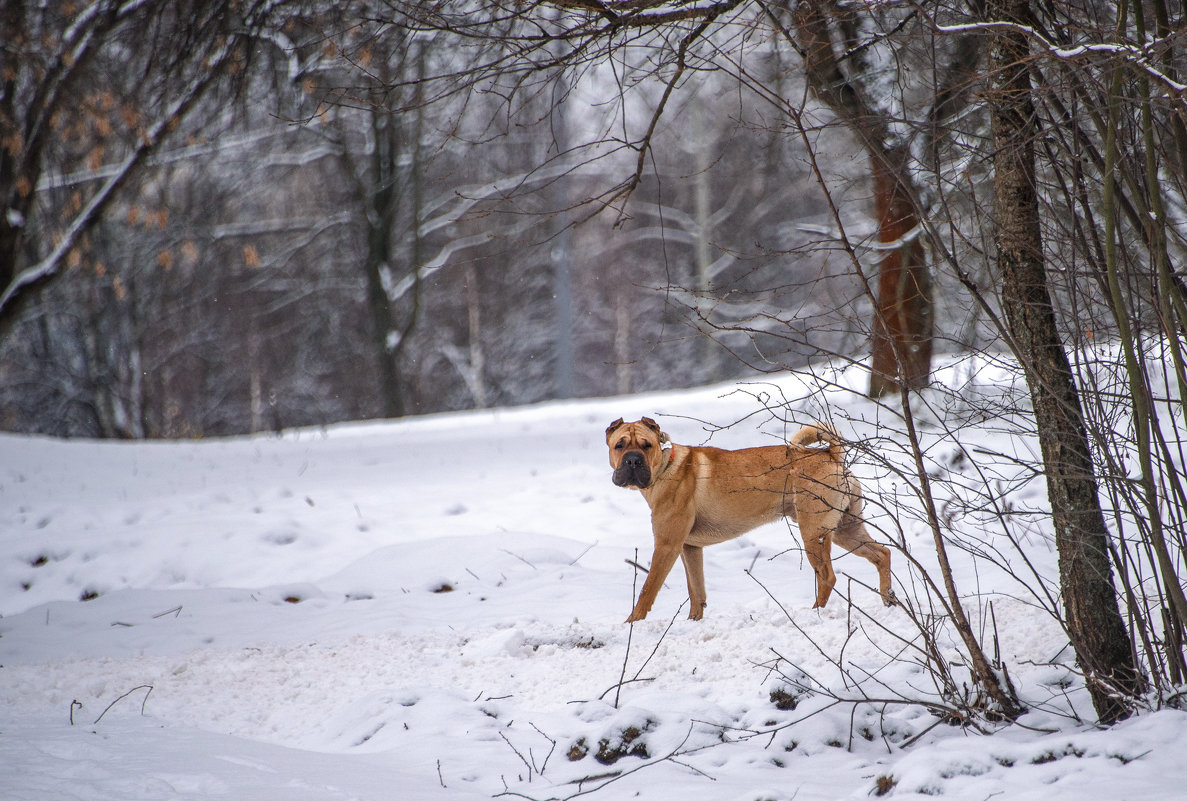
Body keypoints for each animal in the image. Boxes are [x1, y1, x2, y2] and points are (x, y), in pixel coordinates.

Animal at [607, 417, 892, 621]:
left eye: (646, 445)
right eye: (619, 445)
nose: (633, 461)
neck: (665, 466)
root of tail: (830, 454)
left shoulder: (667, 545)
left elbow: (647, 590)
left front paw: (632, 623)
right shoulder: (690, 547)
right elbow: (696, 591)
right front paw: (693, 621)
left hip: (814, 532)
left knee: (827, 577)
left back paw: (816, 613)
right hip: (847, 529)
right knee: (882, 553)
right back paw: (889, 599)